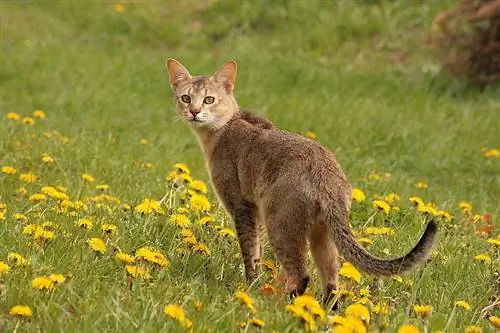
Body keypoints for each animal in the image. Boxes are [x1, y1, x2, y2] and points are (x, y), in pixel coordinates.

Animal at [165, 58, 438, 304]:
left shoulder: (242, 207)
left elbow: (249, 250)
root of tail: (326, 175)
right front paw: (256, 282)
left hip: (281, 224)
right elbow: (257, 252)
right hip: (321, 233)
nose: (194, 112)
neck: (224, 129)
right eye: (186, 98)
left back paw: (283, 306)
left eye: (209, 99)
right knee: (332, 282)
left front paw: (250, 285)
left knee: (302, 274)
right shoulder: (256, 213)